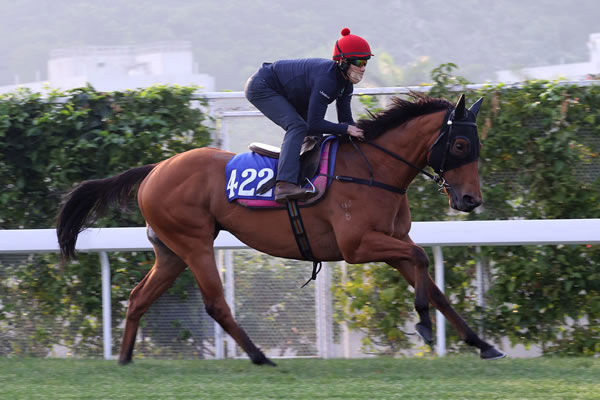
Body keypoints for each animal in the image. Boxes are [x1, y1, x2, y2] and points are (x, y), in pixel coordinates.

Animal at [56, 92, 506, 364]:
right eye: (461, 145)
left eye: (477, 145)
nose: (471, 200)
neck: (373, 170)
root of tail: (154, 169)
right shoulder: (359, 245)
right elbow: (421, 260)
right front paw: (424, 325)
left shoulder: (391, 240)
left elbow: (434, 284)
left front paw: (482, 344)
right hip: (194, 242)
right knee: (215, 303)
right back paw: (259, 356)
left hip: (170, 252)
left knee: (138, 298)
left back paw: (126, 359)